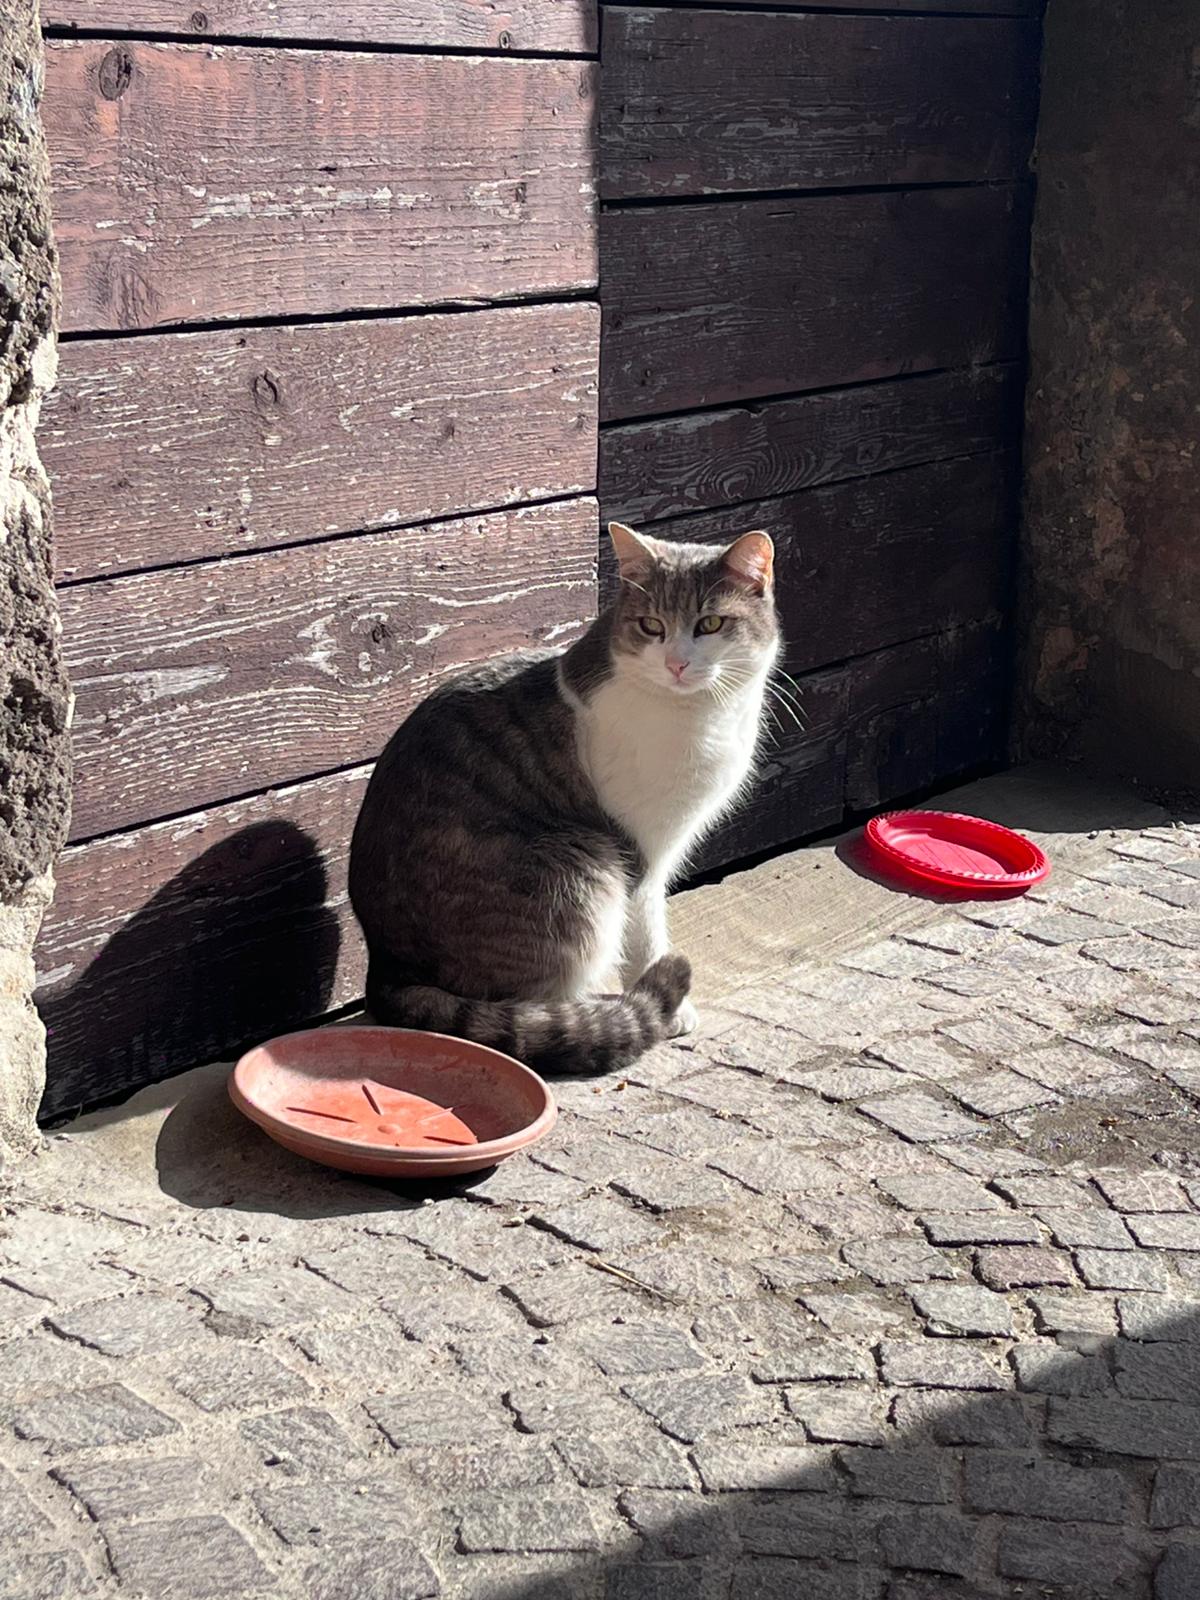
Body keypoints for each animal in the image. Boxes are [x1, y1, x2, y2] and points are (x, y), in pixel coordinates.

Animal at [348, 520, 780, 1074]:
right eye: (651, 626)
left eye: (710, 624)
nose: (677, 664)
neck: (700, 716)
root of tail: (386, 967)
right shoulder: (641, 849)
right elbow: (646, 927)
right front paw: (666, 1008)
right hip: (582, 869)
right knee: (532, 1006)